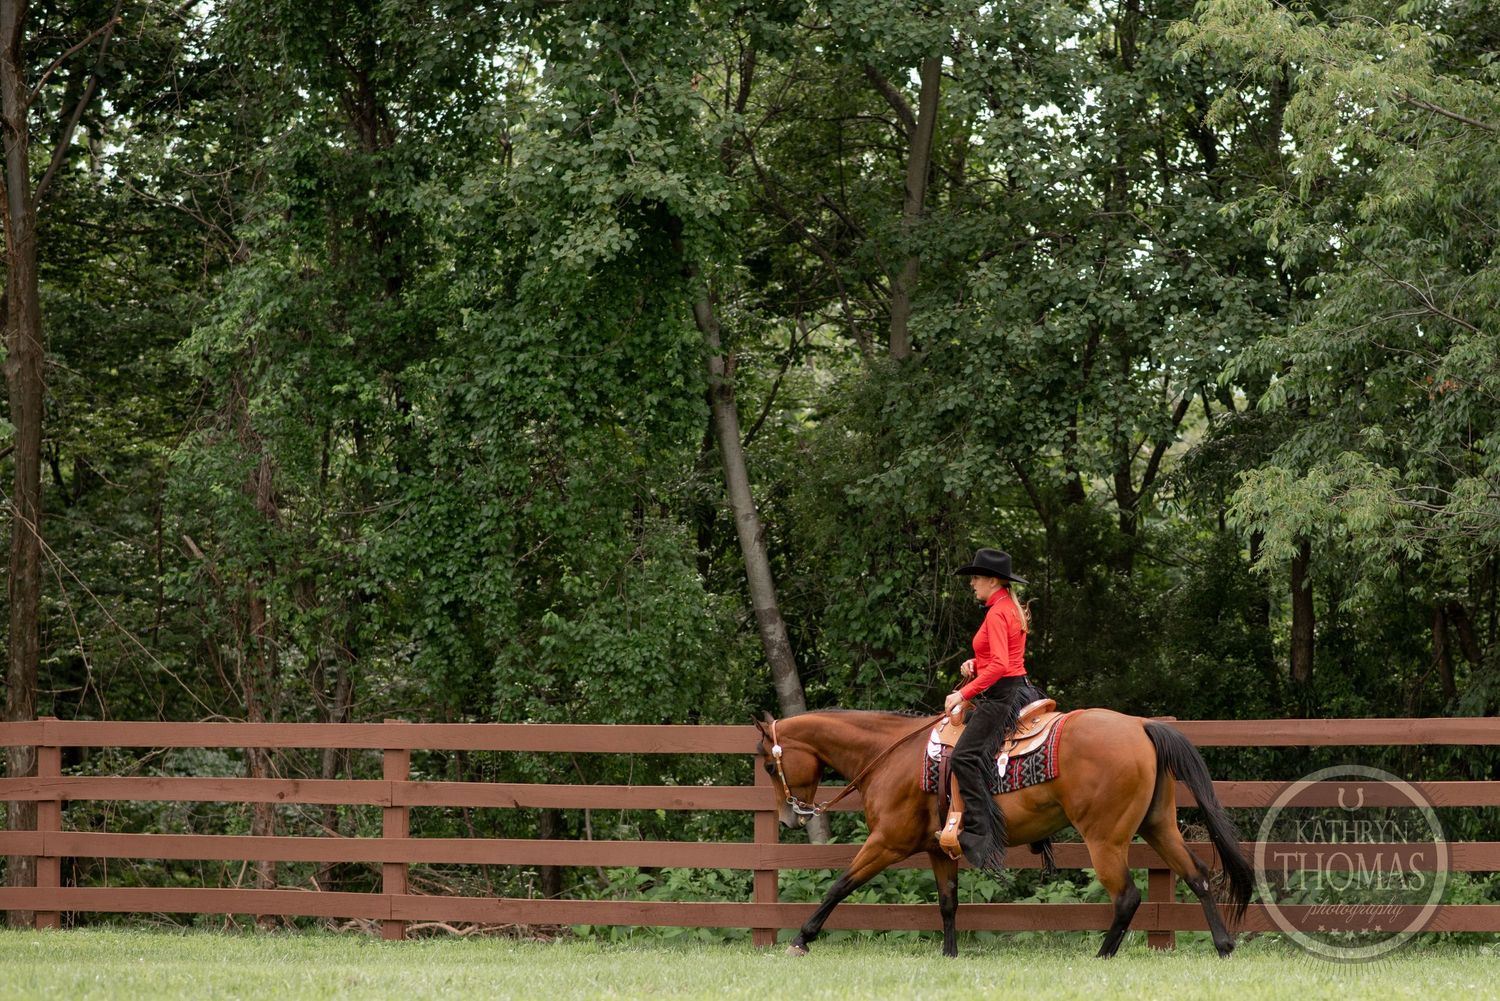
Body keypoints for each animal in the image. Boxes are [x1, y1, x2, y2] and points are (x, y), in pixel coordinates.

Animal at [752, 708, 1253, 958]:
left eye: (768, 765)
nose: (789, 819)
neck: (890, 754)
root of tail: (1139, 726)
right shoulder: (939, 851)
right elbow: (948, 903)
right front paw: (950, 954)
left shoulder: (887, 843)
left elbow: (840, 885)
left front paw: (801, 939)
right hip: (1158, 825)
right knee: (1199, 876)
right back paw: (1224, 945)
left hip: (1105, 839)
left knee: (1127, 897)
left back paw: (1103, 955)